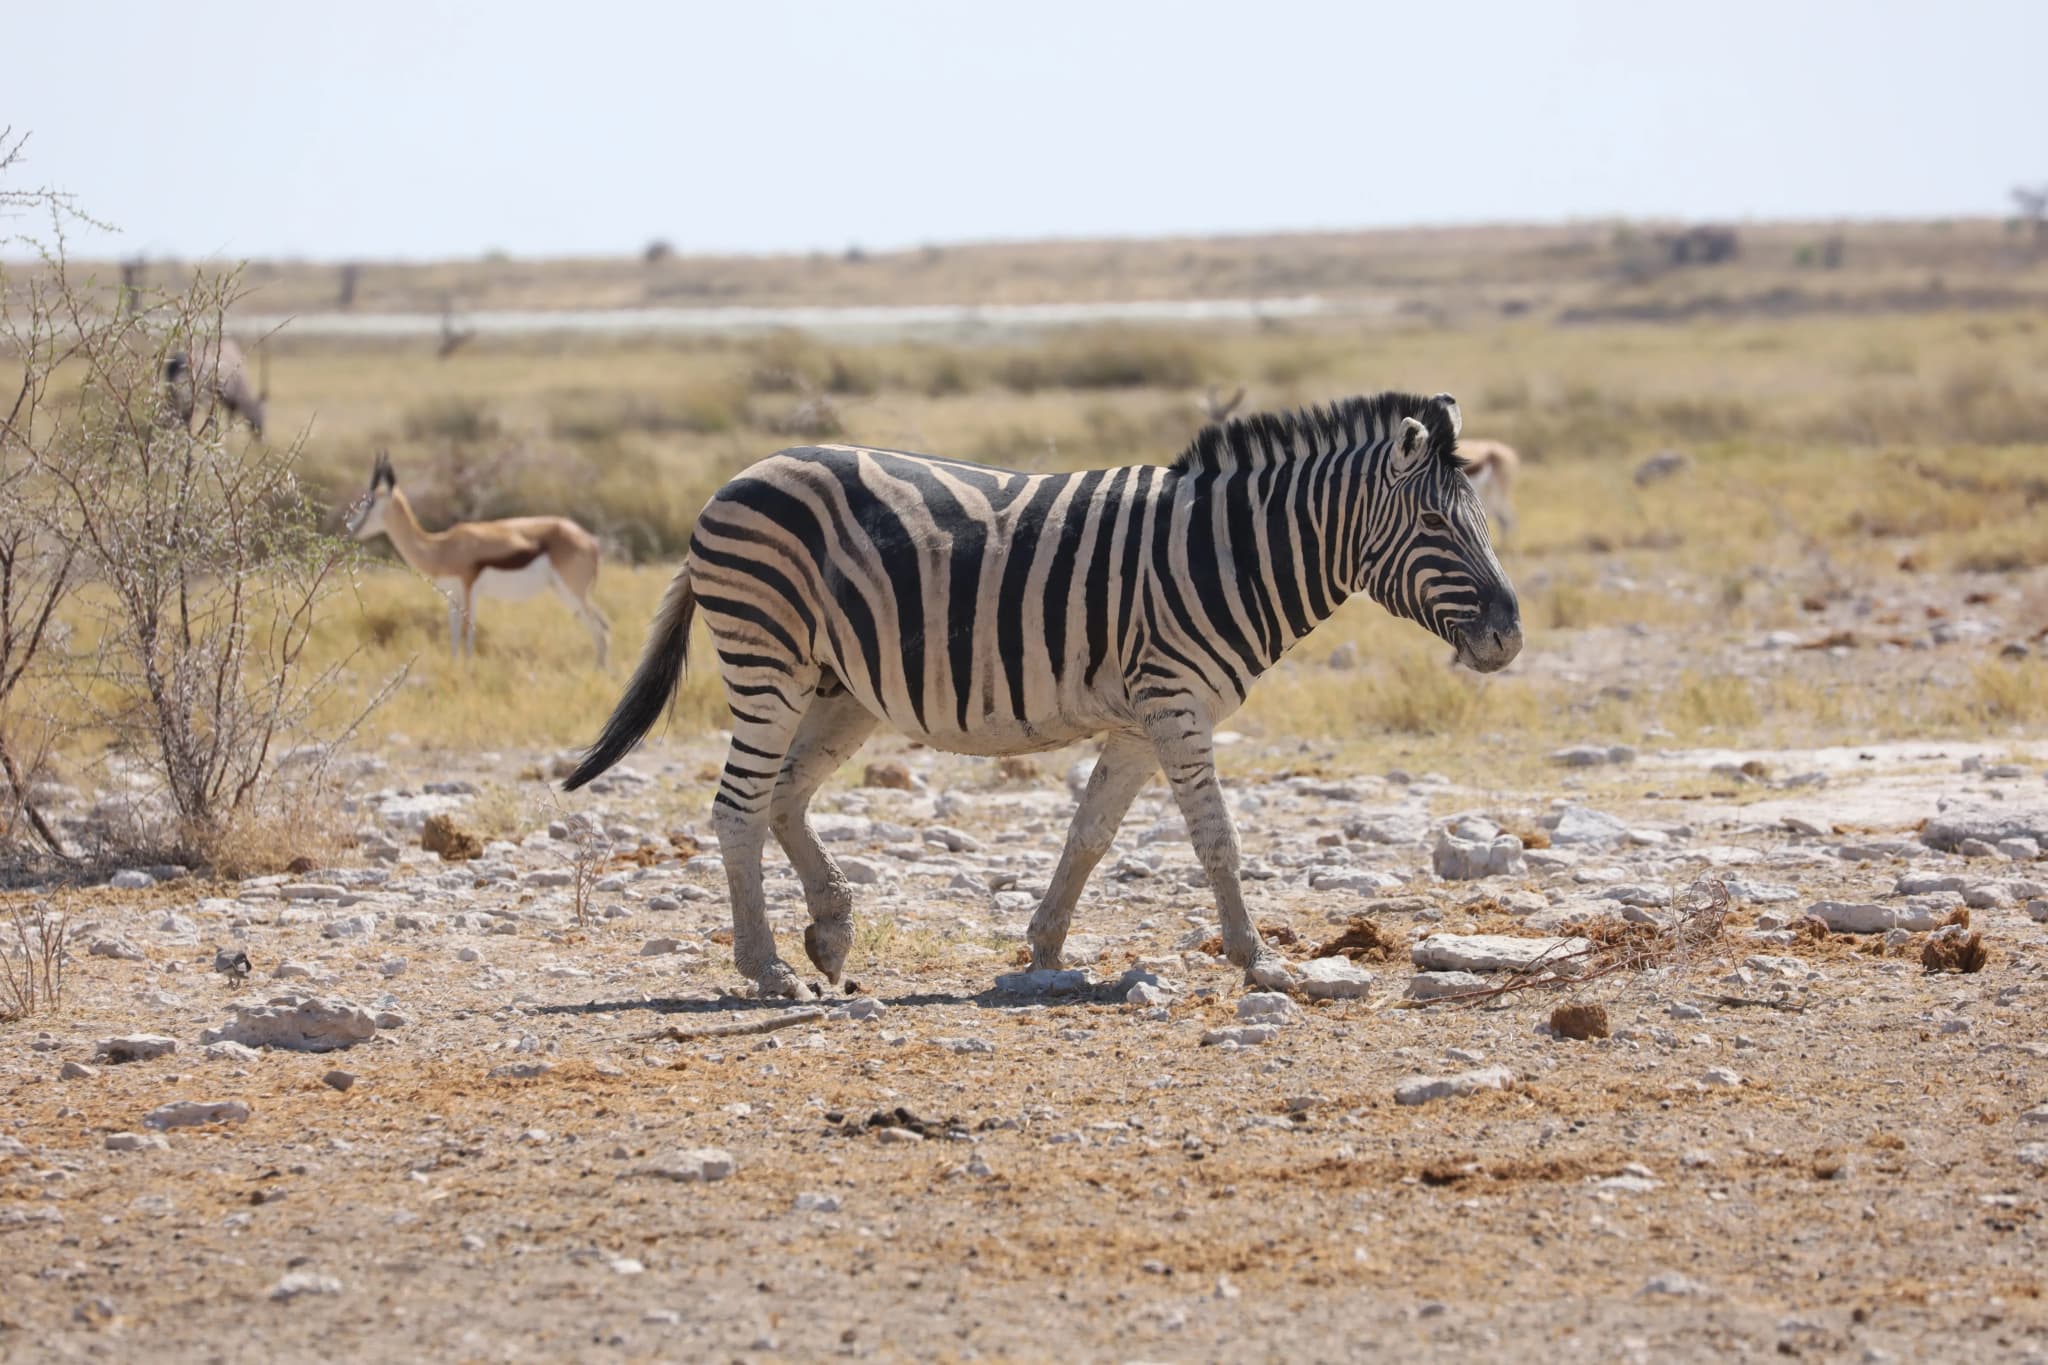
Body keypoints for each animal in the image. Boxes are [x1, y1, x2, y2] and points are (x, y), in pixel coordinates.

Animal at [566, 391, 1521, 999]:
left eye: (1482, 518)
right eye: (1435, 524)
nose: (1509, 636)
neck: (1230, 552)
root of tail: (731, 481)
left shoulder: (1143, 718)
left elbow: (1089, 834)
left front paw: (1044, 949)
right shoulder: (1174, 700)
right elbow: (1217, 840)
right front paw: (1259, 961)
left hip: (843, 687)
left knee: (784, 797)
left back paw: (830, 932)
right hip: (768, 659)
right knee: (737, 807)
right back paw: (768, 970)